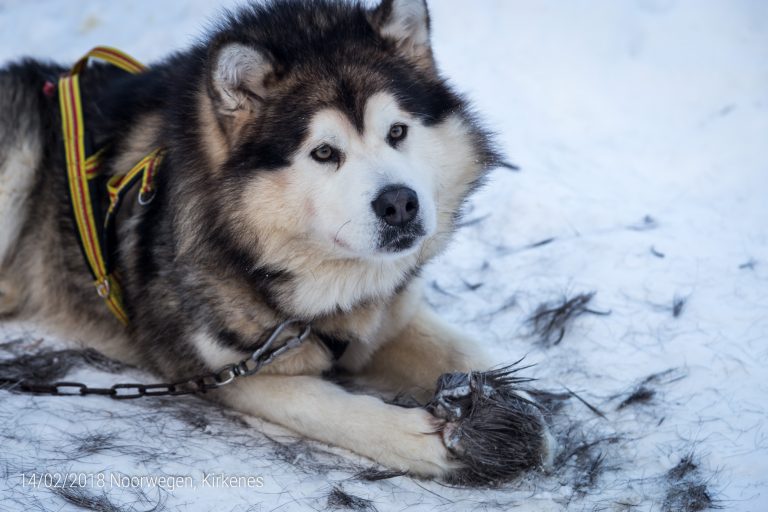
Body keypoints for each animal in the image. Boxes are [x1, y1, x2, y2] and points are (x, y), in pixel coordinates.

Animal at [0, 0, 552, 482]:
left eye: (398, 132)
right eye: (324, 152)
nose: (400, 203)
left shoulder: (390, 316)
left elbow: (463, 348)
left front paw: (527, 404)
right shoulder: (231, 372)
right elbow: (331, 407)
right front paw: (429, 439)